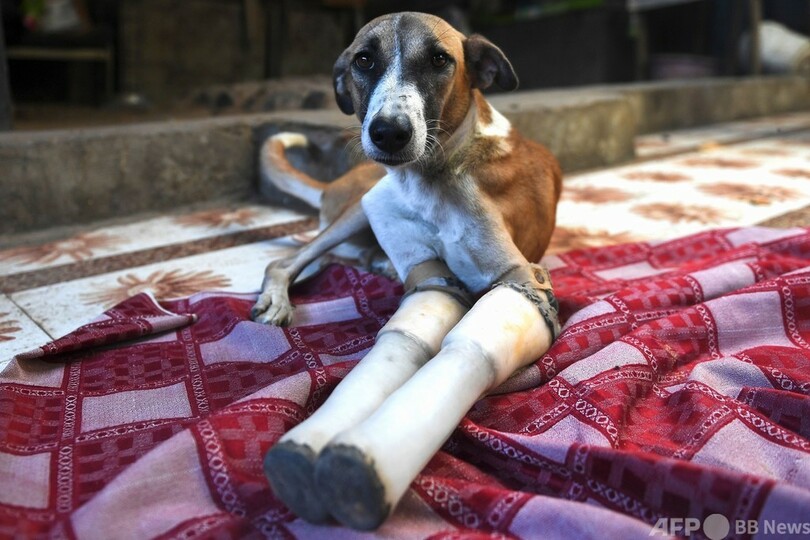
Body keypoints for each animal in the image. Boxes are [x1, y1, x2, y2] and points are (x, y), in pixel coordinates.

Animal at [256, 11, 560, 532]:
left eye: (440, 59)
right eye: (363, 60)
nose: (388, 132)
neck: (432, 176)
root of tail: (332, 187)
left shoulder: (516, 273)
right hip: (360, 205)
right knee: (288, 259)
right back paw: (282, 297)